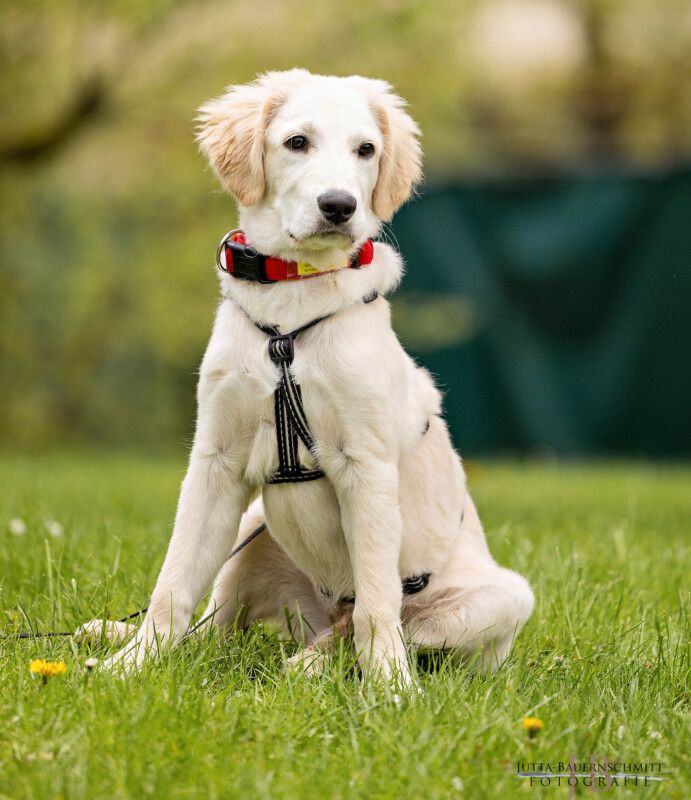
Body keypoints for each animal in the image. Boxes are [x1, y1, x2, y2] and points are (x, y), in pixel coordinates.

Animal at [104, 69, 536, 684]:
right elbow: (174, 582)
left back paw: (315, 665)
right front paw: (132, 665)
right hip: (252, 529)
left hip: (504, 596)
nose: (339, 205)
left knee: (378, 624)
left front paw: (391, 687)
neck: (292, 298)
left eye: (366, 150)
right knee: (215, 623)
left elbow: (378, 603)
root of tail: (324, 610)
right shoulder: (215, 461)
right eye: (297, 142)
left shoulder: (368, 468)